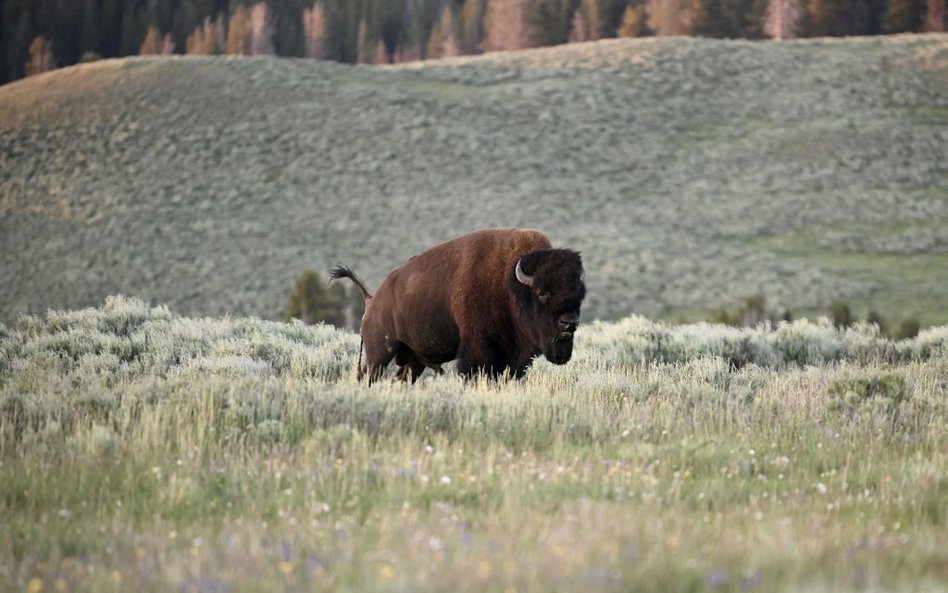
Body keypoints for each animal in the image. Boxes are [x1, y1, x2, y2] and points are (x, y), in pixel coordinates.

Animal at [332, 224, 584, 382]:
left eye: (579, 294)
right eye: (542, 293)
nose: (569, 323)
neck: (508, 284)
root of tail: (372, 299)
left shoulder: (514, 360)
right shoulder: (478, 353)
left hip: (413, 360)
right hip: (380, 354)